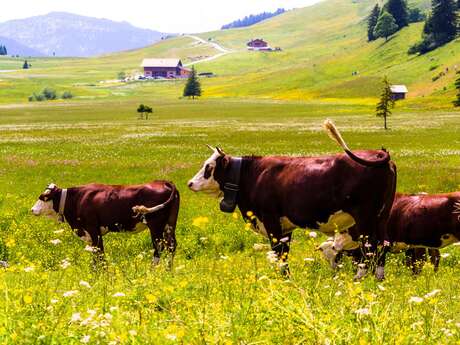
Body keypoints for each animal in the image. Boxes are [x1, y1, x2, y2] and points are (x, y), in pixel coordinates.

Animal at [31, 181, 179, 264]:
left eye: (44, 197)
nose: (32, 210)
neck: (78, 199)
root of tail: (164, 182)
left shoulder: (93, 230)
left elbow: (99, 253)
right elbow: (96, 254)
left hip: (156, 226)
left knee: (159, 247)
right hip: (169, 225)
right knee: (171, 246)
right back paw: (168, 272)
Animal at [189, 119, 398, 278]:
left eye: (208, 167)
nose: (190, 183)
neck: (255, 174)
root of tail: (379, 153)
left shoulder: (271, 220)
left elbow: (277, 253)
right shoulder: (285, 227)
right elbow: (284, 255)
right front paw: (286, 278)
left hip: (364, 219)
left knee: (369, 249)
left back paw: (358, 280)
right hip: (382, 217)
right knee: (382, 249)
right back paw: (378, 281)